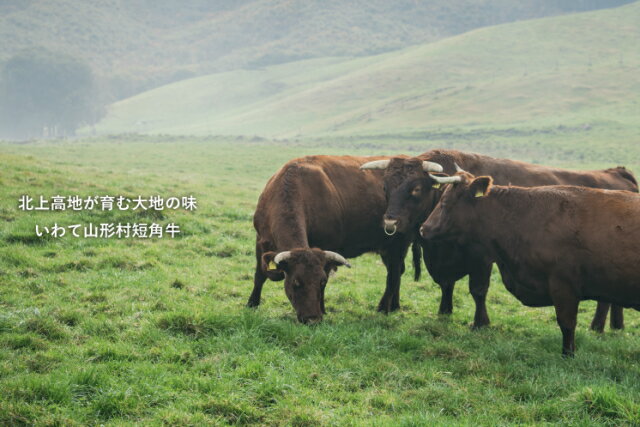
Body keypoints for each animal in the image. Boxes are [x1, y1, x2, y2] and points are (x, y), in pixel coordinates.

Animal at [248, 155, 442, 322]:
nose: (312, 319)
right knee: (398, 271)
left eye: (320, 282)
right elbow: (259, 275)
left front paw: (323, 308)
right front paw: (252, 303)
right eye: (296, 282)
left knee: (393, 274)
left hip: (399, 243)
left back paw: (383, 308)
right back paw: (394, 306)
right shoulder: (260, 241)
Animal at [420, 172, 640, 356]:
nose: (424, 228)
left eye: (445, 203)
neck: (524, 216)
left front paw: (567, 354)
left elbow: (567, 323)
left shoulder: (564, 286)